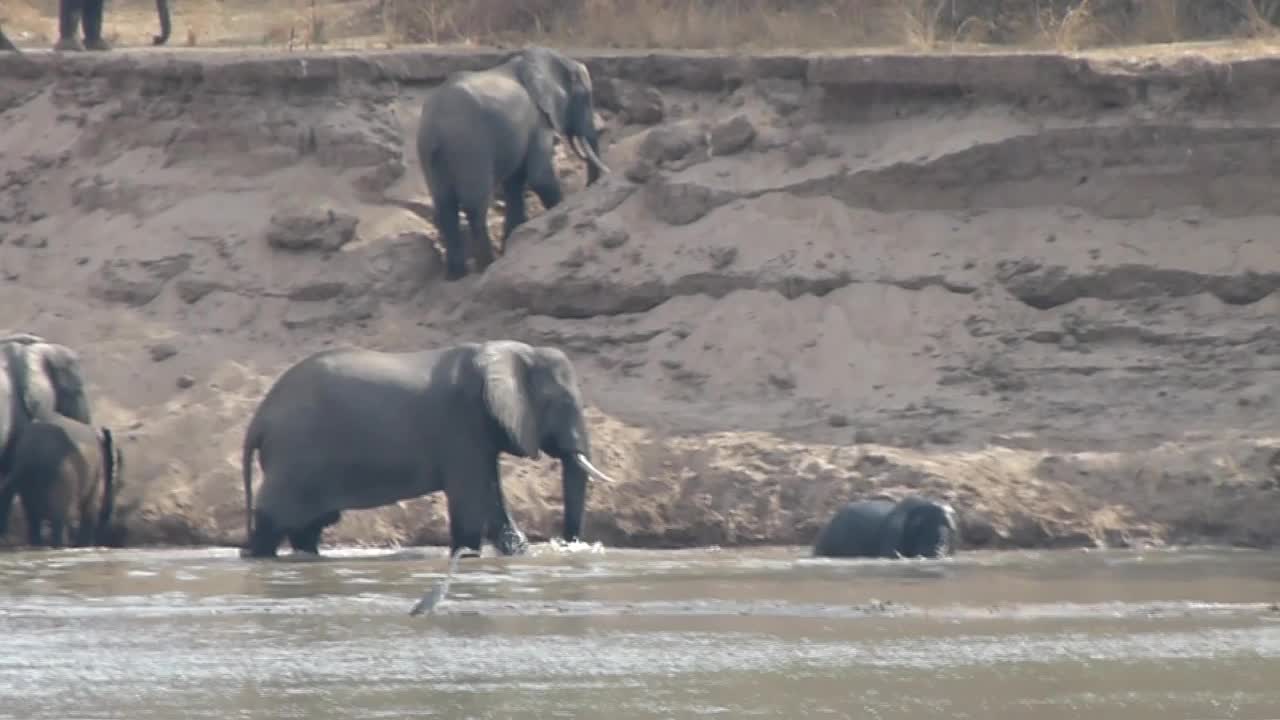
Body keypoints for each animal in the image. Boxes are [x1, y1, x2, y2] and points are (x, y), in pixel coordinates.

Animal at [0, 409, 123, 543]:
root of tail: (29, 456)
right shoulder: (97, 471)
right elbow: (90, 507)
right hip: (64, 475)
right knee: (59, 519)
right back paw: (61, 544)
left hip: (28, 479)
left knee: (33, 516)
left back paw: (38, 543)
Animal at [241, 338, 622, 558]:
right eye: (561, 403)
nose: (569, 544)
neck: (513, 353)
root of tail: (259, 418)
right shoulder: (460, 421)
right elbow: (470, 498)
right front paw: (469, 553)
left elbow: (490, 489)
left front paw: (516, 551)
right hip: (294, 455)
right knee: (273, 521)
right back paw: (257, 555)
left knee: (308, 527)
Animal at [409, 44, 609, 280]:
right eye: (586, 98)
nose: (590, 186)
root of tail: (434, 128)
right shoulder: (538, 120)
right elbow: (539, 177)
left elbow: (514, 183)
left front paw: (512, 242)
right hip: (470, 146)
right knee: (475, 205)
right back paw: (486, 264)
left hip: (431, 156)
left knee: (444, 206)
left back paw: (456, 275)